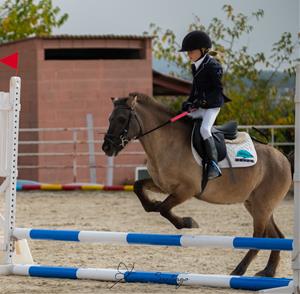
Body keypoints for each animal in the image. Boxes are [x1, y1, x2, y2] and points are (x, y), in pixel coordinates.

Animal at [102, 92, 292, 278]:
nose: (106, 147)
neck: (167, 141)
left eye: (121, 119)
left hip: (262, 207)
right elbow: (138, 187)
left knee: (259, 236)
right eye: (110, 119)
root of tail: (283, 159)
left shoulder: (186, 190)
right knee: (276, 236)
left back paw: (239, 270)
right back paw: (268, 271)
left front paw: (188, 222)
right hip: (255, 205)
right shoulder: (163, 185)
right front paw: (152, 204)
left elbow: (164, 209)